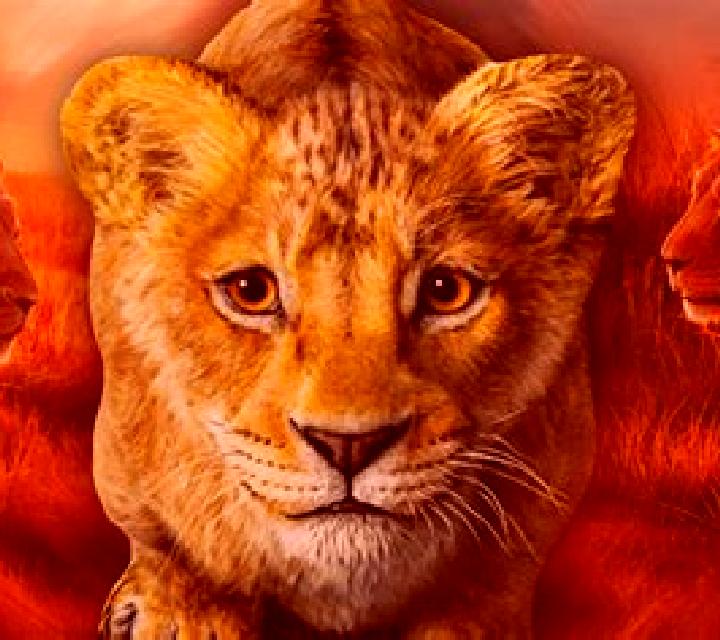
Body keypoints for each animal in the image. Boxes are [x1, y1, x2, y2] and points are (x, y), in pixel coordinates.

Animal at [60, 0, 635, 637]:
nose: (349, 445)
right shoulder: (123, 454)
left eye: (446, 291)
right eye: (251, 291)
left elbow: (492, 578)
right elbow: (165, 540)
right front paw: (184, 613)